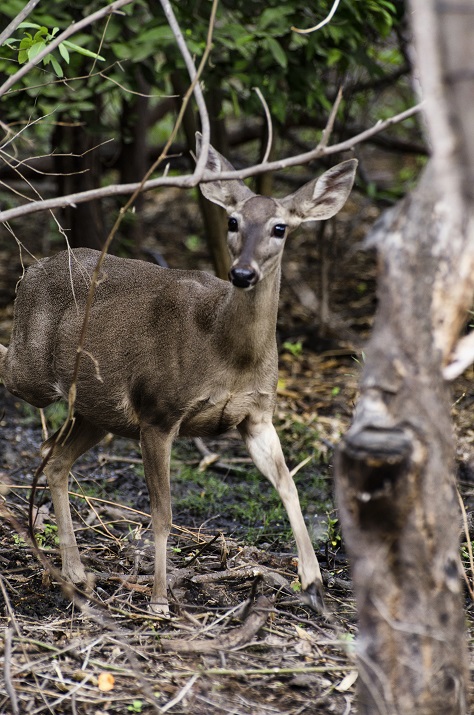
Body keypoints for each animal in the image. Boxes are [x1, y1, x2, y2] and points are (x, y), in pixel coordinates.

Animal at [0, 135, 357, 613]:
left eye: (280, 228)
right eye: (232, 220)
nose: (242, 273)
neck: (230, 357)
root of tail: (30, 271)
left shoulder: (257, 415)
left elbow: (289, 486)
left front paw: (314, 583)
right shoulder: (159, 410)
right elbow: (163, 515)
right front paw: (158, 600)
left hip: (98, 412)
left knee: (55, 458)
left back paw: (76, 575)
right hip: (33, 370)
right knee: (11, 371)